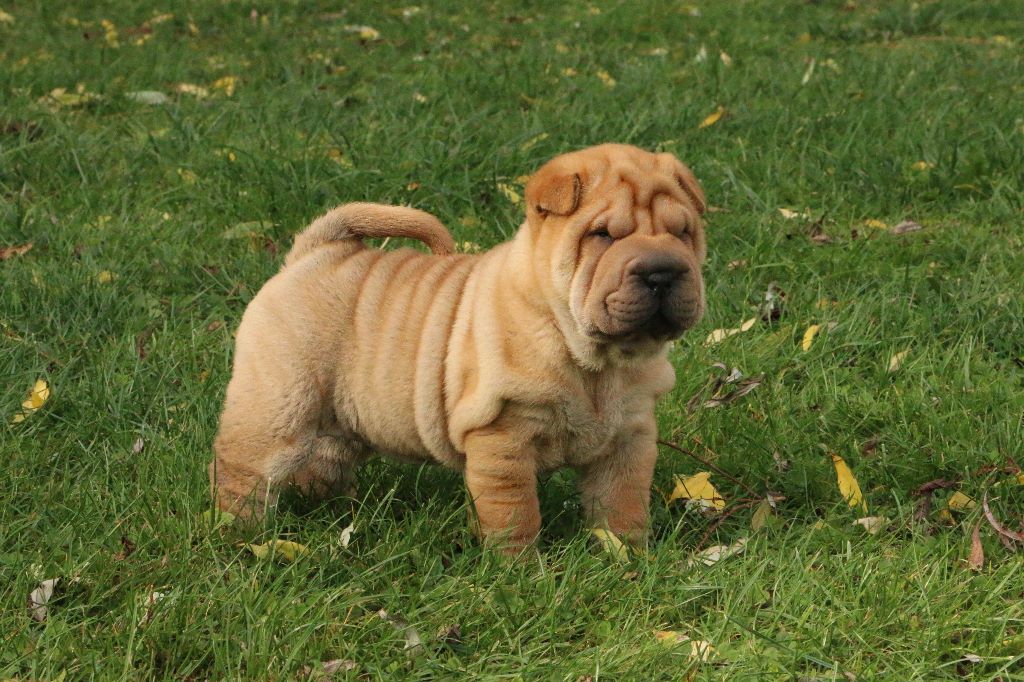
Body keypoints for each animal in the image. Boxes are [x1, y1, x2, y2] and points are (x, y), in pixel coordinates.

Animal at [210, 143, 707, 552]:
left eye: (683, 232)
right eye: (603, 235)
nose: (662, 272)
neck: (593, 359)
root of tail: (312, 254)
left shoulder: (629, 434)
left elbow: (622, 506)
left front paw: (626, 560)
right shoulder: (502, 436)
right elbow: (514, 516)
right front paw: (519, 572)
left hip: (339, 418)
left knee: (324, 461)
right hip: (278, 404)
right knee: (243, 470)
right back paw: (241, 537)